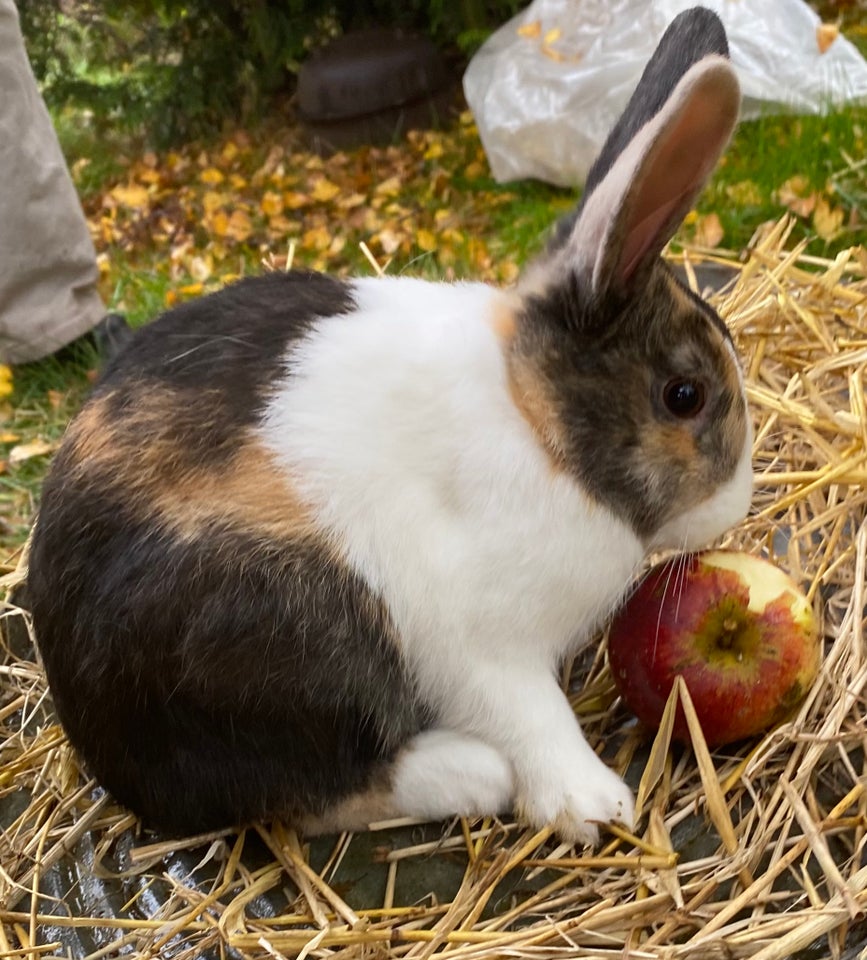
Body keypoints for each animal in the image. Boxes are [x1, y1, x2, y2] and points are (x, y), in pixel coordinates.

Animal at [28, 9, 752, 848]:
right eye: (682, 395)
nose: (738, 500)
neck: (533, 424)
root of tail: (93, 735)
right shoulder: (482, 647)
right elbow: (533, 718)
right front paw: (592, 806)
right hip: (281, 647)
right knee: (304, 794)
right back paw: (469, 774)